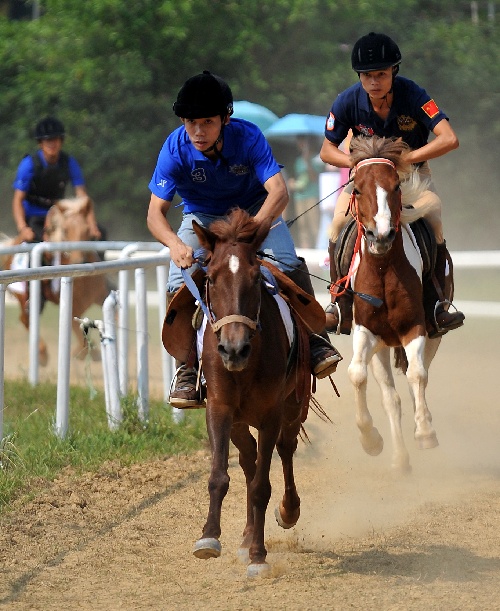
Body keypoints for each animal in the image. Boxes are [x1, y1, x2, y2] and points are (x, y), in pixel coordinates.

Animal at [1, 198, 110, 366]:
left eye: (87, 230)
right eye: (65, 230)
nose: (79, 261)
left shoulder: (101, 296)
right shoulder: (73, 309)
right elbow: (84, 341)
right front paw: (82, 353)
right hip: (23, 296)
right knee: (26, 318)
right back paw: (42, 355)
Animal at [188, 208, 320, 576]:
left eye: (255, 279)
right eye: (211, 278)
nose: (234, 349)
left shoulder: (271, 414)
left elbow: (263, 485)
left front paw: (259, 556)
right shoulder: (219, 409)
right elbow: (220, 475)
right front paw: (208, 537)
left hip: (294, 406)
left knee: (285, 452)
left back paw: (288, 511)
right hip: (238, 421)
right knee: (249, 461)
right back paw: (247, 535)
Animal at [344, 136, 442, 476]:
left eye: (396, 187)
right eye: (357, 188)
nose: (382, 235)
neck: (383, 268)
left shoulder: (416, 327)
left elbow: (418, 375)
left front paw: (424, 432)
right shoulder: (366, 331)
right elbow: (357, 375)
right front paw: (370, 439)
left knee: (416, 376)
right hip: (381, 347)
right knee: (391, 398)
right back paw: (399, 459)